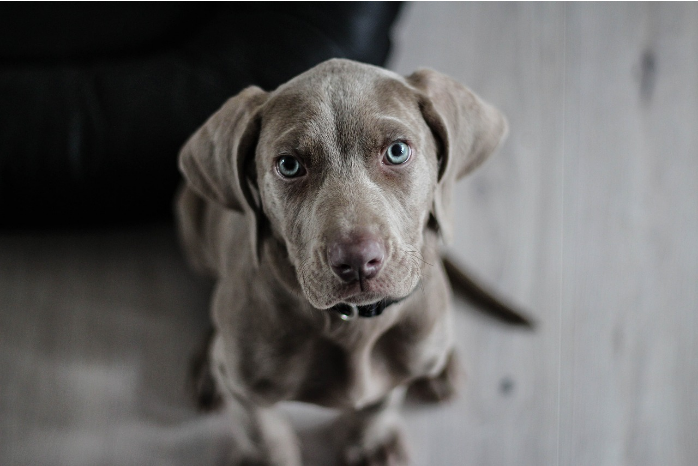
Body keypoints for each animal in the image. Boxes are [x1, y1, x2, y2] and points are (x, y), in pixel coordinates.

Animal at [174, 59, 512, 466]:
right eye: (289, 165)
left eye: (397, 151)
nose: (357, 261)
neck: (352, 324)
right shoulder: (244, 388)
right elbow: (262, 431)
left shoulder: (393, 369)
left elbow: (380, 403)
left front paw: (370, 443)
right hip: (190, 219)